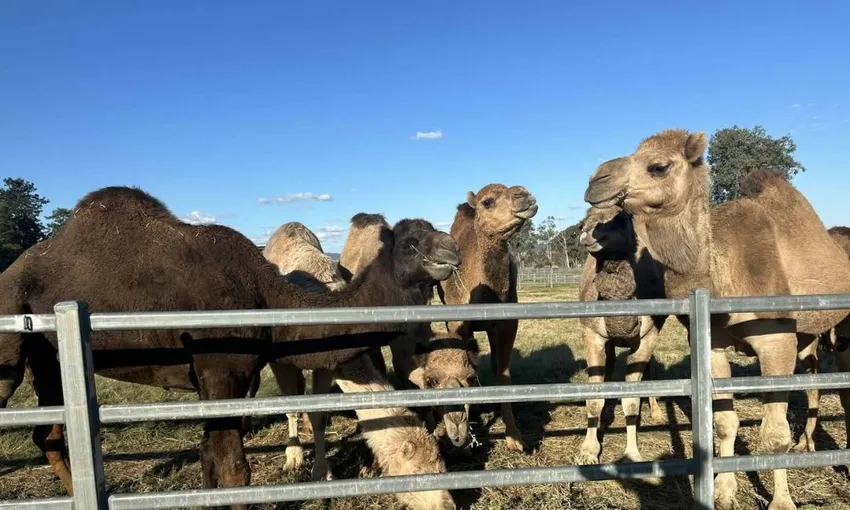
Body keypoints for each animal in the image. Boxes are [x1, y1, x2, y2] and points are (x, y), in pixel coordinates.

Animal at [0, 186, 459, 510]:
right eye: (409, 243)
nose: (451, 249)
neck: (266, 295)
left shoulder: (225, 377)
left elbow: (209, 457)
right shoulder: (222, 369)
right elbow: (235, 470)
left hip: (48, 358)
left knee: (49, 433)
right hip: (9, 346)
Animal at [437, 183, 538, 453]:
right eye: (488, 202)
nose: (524, 195)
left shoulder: (507, 324)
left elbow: (503, 374)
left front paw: (514, 437)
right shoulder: (458, 324)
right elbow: (462, 370)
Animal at [575, 205, 668, 464]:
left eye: (619, 220)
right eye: (584, 220)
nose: (586, 232)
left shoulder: (649, 336)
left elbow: (633, 400)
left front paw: (632, 453)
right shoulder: (592, 334)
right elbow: (595, 397)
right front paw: (588, 451)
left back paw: (657, 413)